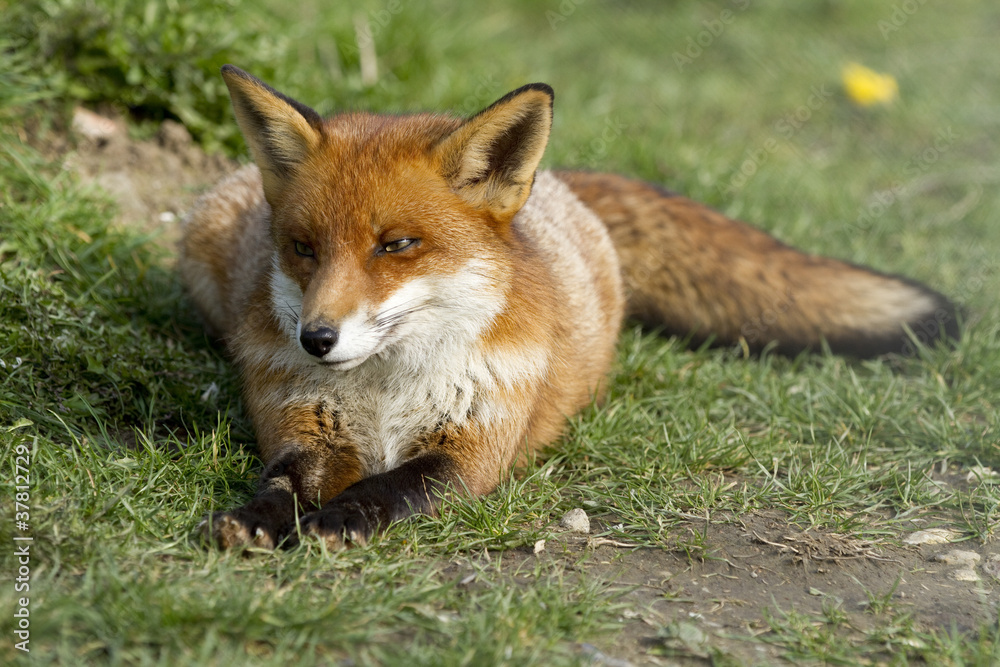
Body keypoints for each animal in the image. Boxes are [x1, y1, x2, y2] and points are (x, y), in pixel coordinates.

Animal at [180, 65, 958, 550]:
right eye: (303, 248)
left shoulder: (469, 455)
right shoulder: (304, 432)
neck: (384, 397)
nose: (316, 339)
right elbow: (281, 482)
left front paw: (337, 523)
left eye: (396, 244)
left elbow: (385, 491)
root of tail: (561, 182)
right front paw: (254, 519)